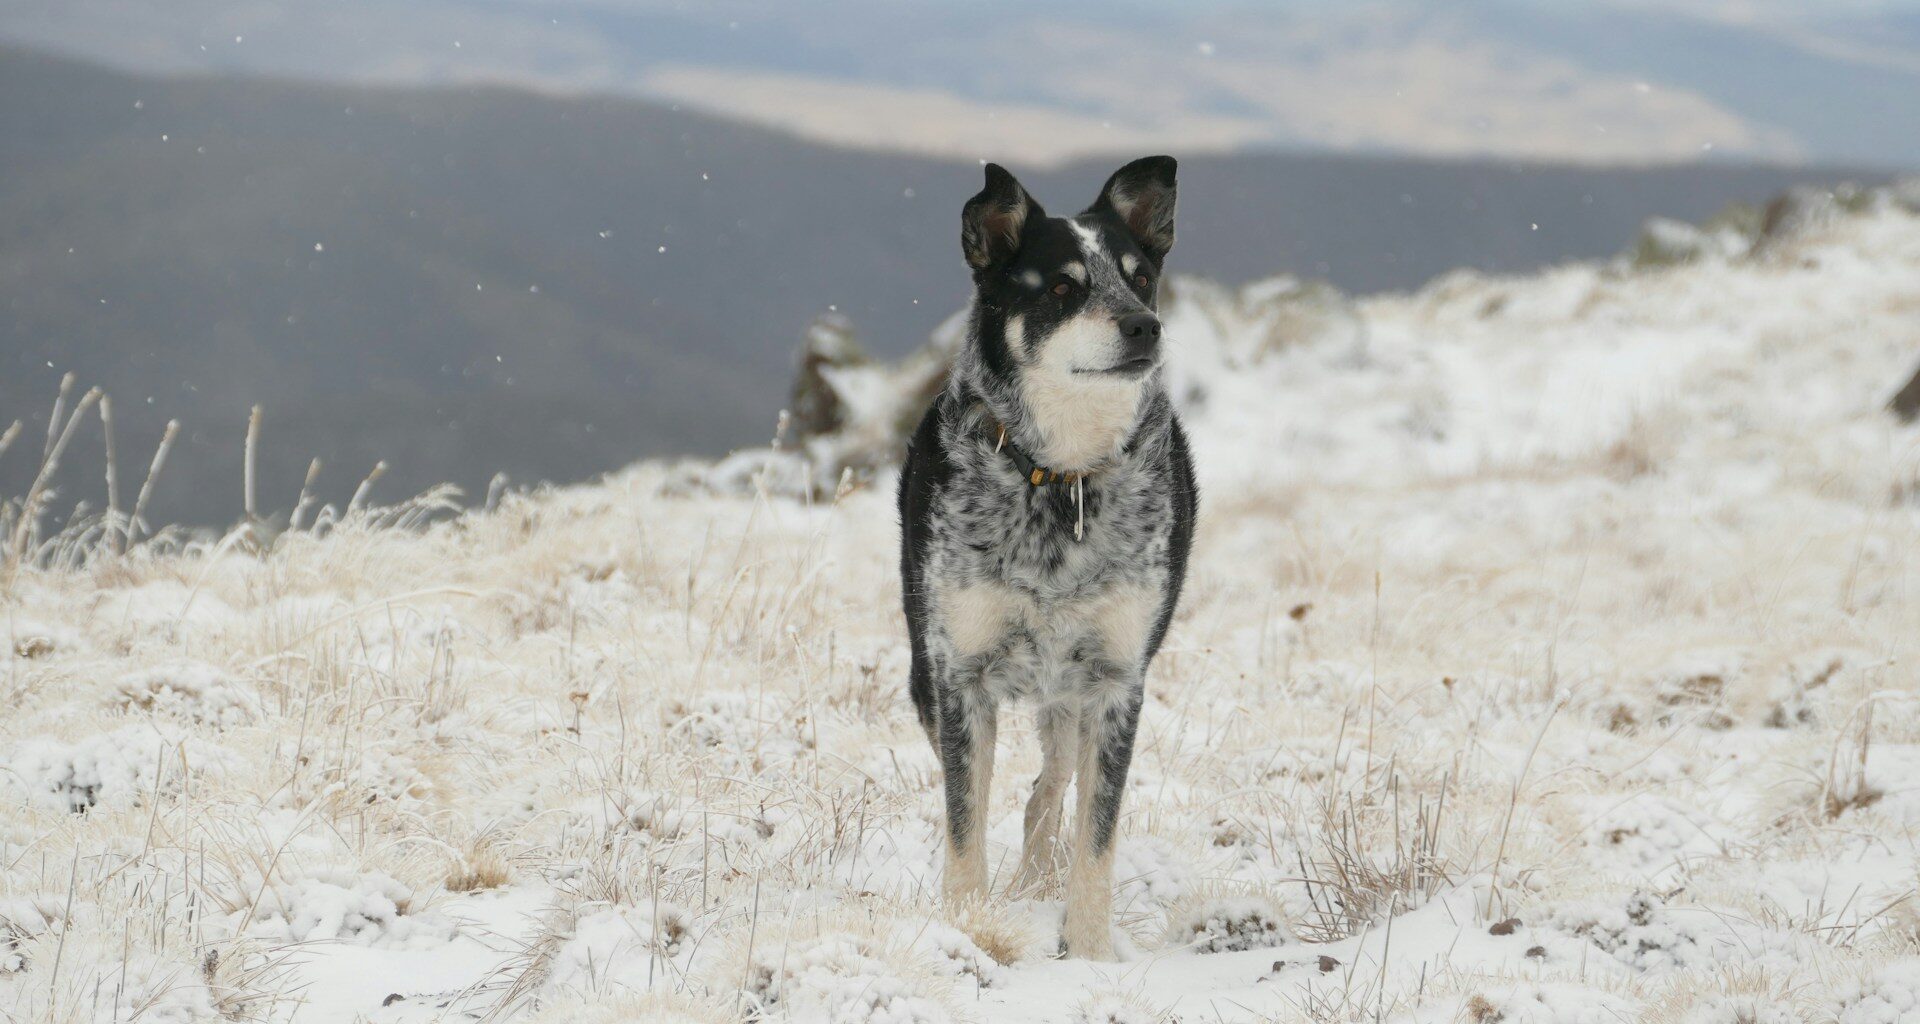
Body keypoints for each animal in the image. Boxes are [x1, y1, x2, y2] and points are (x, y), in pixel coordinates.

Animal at [890, 153, 1190, 956]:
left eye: (1140, 277)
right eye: (1061, 287)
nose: (1145, 325)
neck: (1059, 476)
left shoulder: (1118, 682)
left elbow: (1096, 834)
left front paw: (1086, 952)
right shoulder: (958, 674)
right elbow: (964, 822)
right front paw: (967, 927)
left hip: (1072, 690)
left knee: (1050, 787)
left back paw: (1036, 877)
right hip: (927, 668)